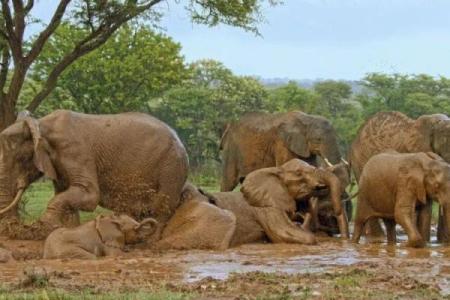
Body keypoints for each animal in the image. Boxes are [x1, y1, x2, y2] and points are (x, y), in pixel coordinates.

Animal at [0, 109, 188, 239]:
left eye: (21, 158)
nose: (13, 229)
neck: (42, 124)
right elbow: (65, 194)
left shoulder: (75, 151)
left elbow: (89, 194)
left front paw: (39, 229)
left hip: (171, 168)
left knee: (162, 206)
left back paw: (151, 243)